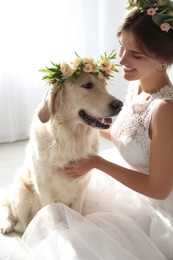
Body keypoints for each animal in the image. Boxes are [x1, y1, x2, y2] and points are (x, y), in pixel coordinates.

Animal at [0, 71, 122, 234]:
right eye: (88, 85)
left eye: (105, 85)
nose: (120, 105)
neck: (70, 138)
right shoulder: (45, 190)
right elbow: (53, 218)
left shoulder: (81, 189)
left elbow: (76, 215)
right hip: (21, 194)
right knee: (13, 214)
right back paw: (8, 224)